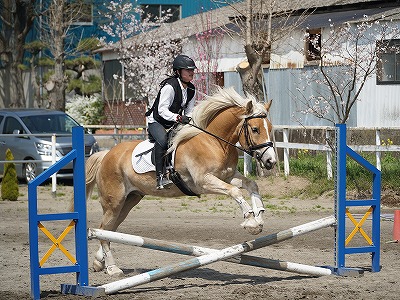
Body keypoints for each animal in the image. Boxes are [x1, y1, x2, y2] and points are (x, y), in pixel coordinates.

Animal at [85, 87, 276, 276]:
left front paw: (259, 215)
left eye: (270, 127)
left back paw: (99, 262)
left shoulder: (227, 176)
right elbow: (234, 191)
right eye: (255, 129)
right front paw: (251, 222)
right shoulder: (203, 181)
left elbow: (251, 185)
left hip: (130, 200)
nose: (271, 161)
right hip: (114, 202)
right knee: (103, 228)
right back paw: (112, 268)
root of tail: (106, 155)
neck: (214, 142)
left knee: (108, 229)